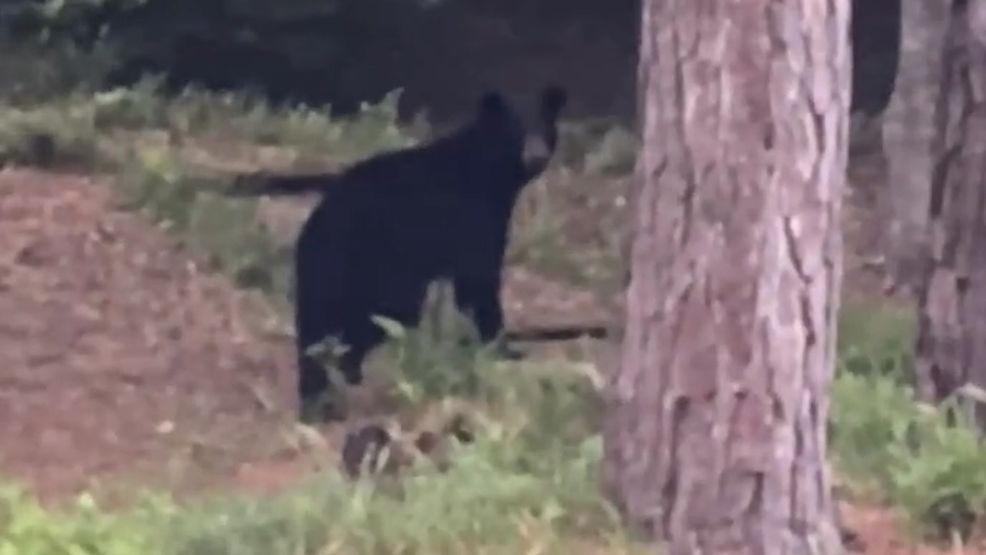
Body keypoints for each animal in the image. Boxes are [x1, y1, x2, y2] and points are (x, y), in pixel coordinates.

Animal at [227, 86, 568, 423]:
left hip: (321, 276)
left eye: (543, 127)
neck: (488, 173)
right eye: (515, 130)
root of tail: (320, 226)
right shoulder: (474, 216)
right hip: (382, 269)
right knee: (380, 318)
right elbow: (478, 282)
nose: (536, 154)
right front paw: (503, 346)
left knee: (316, 332)